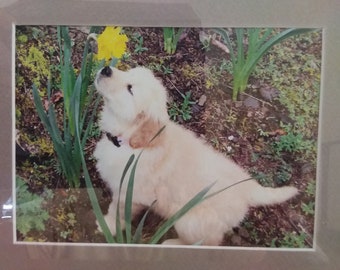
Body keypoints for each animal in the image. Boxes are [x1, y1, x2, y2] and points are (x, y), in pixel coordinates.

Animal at [93, 66, 298, 246]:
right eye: (128, 71)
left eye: (130, 89)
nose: (106, 69)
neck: (130, 138)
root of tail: (247, 187)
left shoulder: (130, 193)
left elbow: (117, 211)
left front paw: (107, 226)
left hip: (189, 221)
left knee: (208, 243)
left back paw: (172, 244)